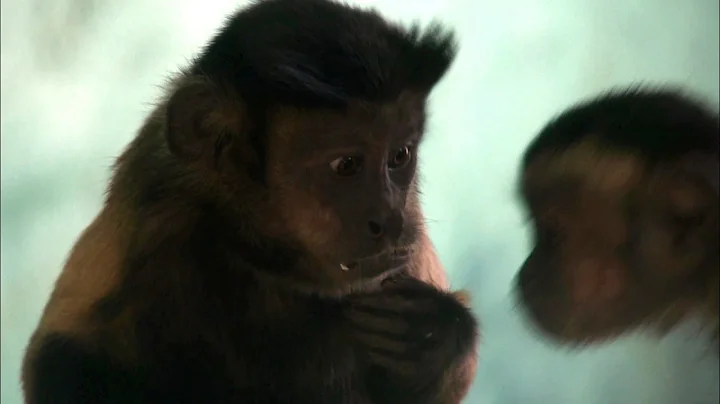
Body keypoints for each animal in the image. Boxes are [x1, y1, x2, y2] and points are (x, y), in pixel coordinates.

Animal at [20, 0, 479, 403]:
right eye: (346, 165)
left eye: (399, 157)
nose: (390, 219)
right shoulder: (156, 208)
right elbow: (61, 355)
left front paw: (433, 340)